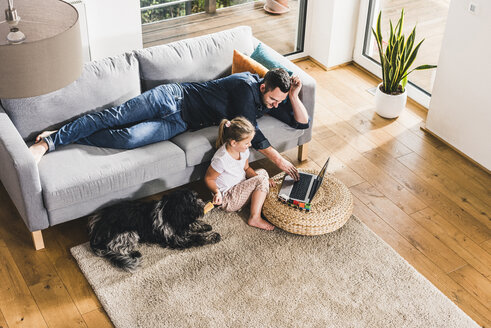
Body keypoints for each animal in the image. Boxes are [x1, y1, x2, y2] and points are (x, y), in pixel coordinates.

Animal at [87, 190, 220, 272]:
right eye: (193, 200)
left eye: (196, 198)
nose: (203, 203)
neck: (168, 212)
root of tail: (96, 229)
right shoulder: (177, 239)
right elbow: (197, 237)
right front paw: (213, 236)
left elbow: (191, 224)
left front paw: (204, 226)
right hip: (128, 233)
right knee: (114, 248)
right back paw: (133, 253)